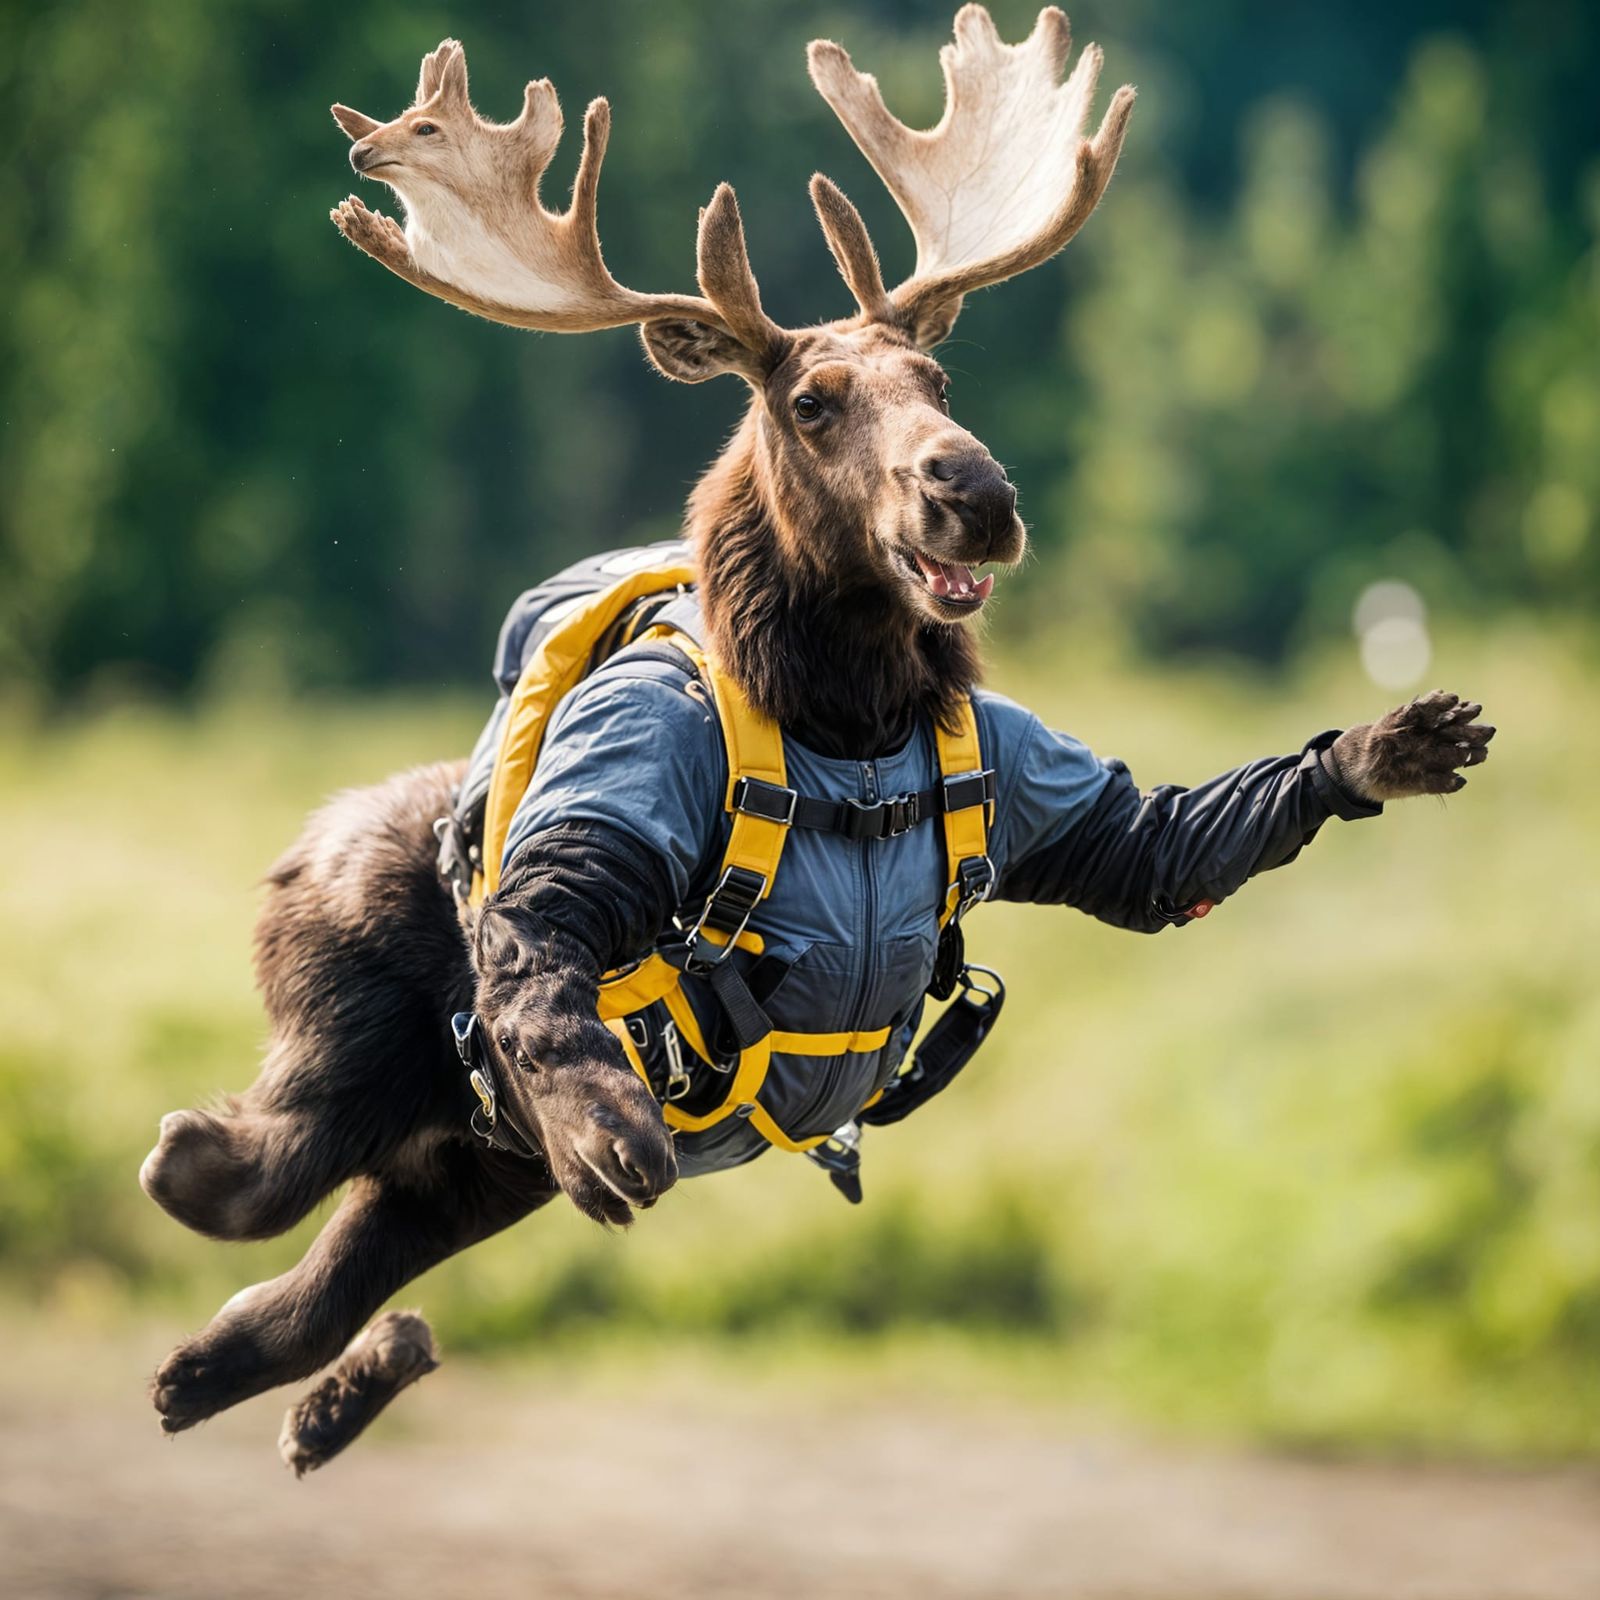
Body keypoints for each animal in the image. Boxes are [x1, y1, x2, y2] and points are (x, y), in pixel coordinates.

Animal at [140, 7, 1495, 1474]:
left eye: (940, 374)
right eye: (811, 403)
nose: (978, 492)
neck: (848, 723)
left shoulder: (1034, 775)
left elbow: (1156, 845)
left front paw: (1391, 746)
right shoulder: (633, 770)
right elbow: (553, 918)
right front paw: (612, 1122)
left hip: (473, 1168)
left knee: (326, 1272)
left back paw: (277, 1381)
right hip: (361, 1003)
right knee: (273, 1161)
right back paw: (211, 1183)